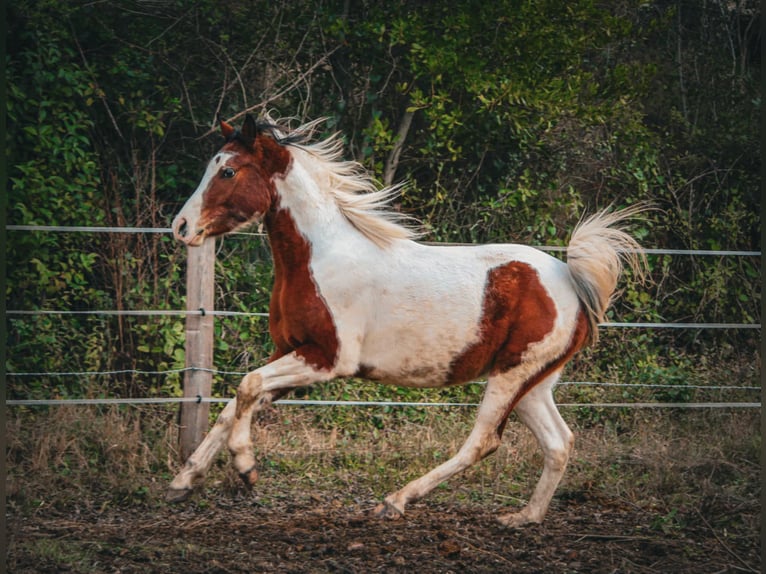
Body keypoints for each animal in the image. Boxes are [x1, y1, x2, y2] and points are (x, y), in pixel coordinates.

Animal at [168, 114, 647, 527]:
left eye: (228, 171)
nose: (181, 226)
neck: (319, 257)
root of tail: (570, 279)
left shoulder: (326, 360)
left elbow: (246, 387)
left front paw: (246, 467)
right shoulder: (290, 354)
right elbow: (233, 404)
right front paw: (184, 481)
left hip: (513, 375)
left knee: (483, 442)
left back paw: (396, 500)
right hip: (534, 383)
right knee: (558, 442)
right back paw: (522, 518)